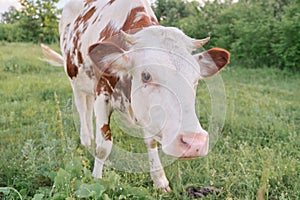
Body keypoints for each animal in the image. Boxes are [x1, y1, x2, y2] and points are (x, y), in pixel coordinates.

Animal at [41, 0, 230, 191]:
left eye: (196, 79)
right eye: (146, 75)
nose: (194, 142)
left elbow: (151, 142)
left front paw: (160, 181)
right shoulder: (101, 95)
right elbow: (103, 146)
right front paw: (96, 179)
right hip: (74, 79)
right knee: (82, 109)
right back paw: (87, 140)